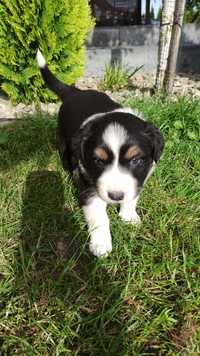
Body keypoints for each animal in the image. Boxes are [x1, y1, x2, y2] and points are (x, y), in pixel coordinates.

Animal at [36, 49, 165, 256]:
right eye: (98, 161)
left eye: (136, 160)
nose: (116, 197)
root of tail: (75, 92)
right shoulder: (89, 188)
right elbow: (99, 217)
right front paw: (101, 245)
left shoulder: (141, 177)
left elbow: (132, 197)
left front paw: (129, 216)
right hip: (63, 139)